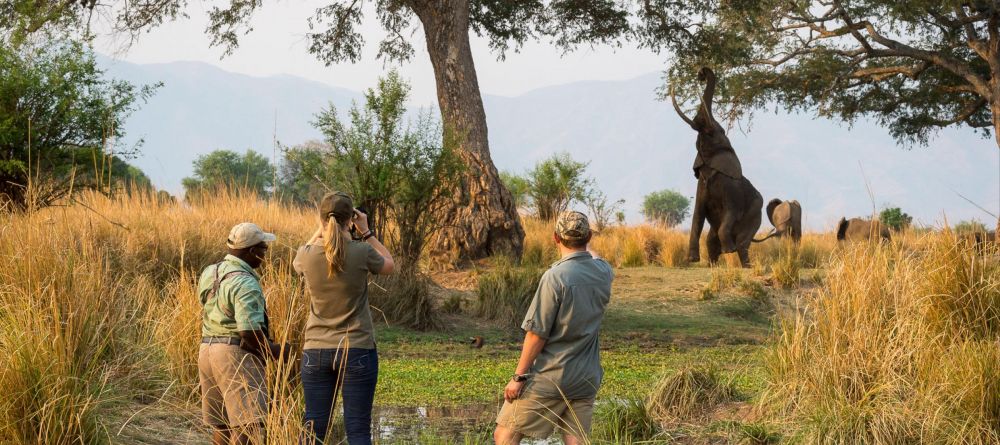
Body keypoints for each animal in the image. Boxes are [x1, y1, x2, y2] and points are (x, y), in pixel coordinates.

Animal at [672, 67, 764, 266]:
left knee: (742, 242)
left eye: (719, 131)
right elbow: (697, 217)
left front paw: (729, 251)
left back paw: (745, 265)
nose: (701, 73)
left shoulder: (732, 189)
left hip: (755, 215)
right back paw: (712, 265)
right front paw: (692, 260)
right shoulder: (701, 185)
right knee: (711, 240)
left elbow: (731, 212)